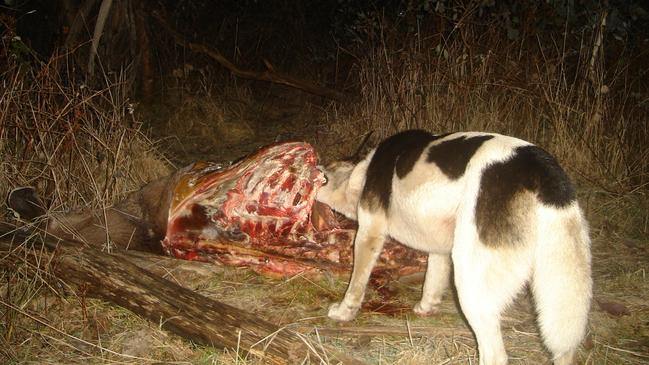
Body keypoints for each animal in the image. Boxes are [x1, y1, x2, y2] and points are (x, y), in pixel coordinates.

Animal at [316, 130, 588, 364]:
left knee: (494, 354)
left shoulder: (369, 232)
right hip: (561, 294)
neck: (362, 171)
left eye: (327, 168)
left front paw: (343, 312)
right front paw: (425, 308)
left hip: (471, 285)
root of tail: (543, 172)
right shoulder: (439, 251)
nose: (316, 165)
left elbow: (356, 285)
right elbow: (432, 283)